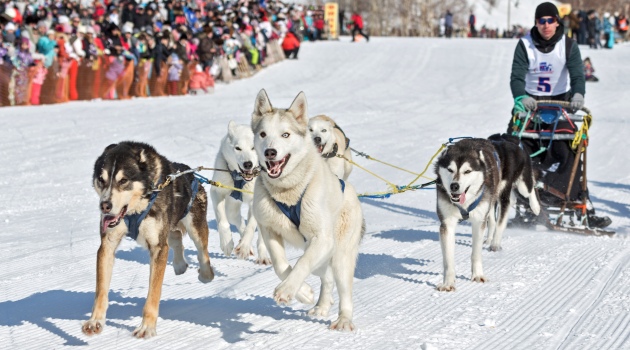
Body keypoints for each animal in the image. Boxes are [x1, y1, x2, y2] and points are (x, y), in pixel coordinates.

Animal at [82, 141, 216, 338]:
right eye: (101, 179)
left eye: (123, 180)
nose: (104, 206)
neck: (136, 209)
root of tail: (190, 173)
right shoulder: (107, 245)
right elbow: (101, 291)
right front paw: (95, 321)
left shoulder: (157, 247)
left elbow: (153, 292)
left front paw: (147, 327)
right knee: (175, 237)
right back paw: (179, 265)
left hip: (195, 226)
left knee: (202, 251)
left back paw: (206, 274)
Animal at [212, 121, 272, 264]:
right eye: (238, 148)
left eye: (253, 147)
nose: (248, 164)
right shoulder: (216, 191)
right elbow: (222, 221)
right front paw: (226, 243)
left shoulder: (256, 202)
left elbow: (250, 227)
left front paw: (244, 246)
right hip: (232, 207)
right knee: (236, 219)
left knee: (261, 235)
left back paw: (262, 256)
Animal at [251, 90, 366, 330]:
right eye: (263, 134)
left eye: (285, 134)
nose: (270, 152)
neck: (288, 191)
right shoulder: (269, 230)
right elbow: (281, 265)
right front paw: (302, 292)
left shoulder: (322, 239)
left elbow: (301, 264)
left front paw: (287, 289)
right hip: (319, 255)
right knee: (326, 277)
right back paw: (322, 305)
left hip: (339, 254)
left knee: (343, 287)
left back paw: (344, 319)